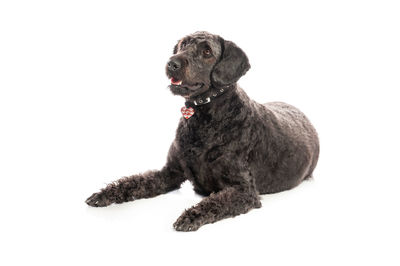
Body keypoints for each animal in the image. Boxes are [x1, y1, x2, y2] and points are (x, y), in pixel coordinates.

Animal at [86, 30, 320, 231]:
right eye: (182, 44)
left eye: (207, 51)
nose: (172, 63)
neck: (204, 116)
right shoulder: (169, 172)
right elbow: (135, 181)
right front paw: (105, 194)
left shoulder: (244, 190)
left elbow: (215, 202)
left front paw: (191, 216)